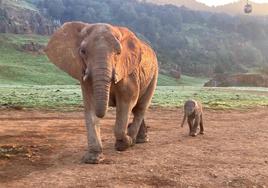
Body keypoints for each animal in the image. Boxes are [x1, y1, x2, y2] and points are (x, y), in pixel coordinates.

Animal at [44, 21, 158, 163]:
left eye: (118, 52)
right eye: (83, 51)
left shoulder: (128, 72)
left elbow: (127, 101)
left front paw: (124, 144)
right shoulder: (84, 75)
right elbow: (90, 105)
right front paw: (93, 159)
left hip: (154, 74)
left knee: (140, 108)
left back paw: (135, 140)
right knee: (136, 109)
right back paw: (138, 139)